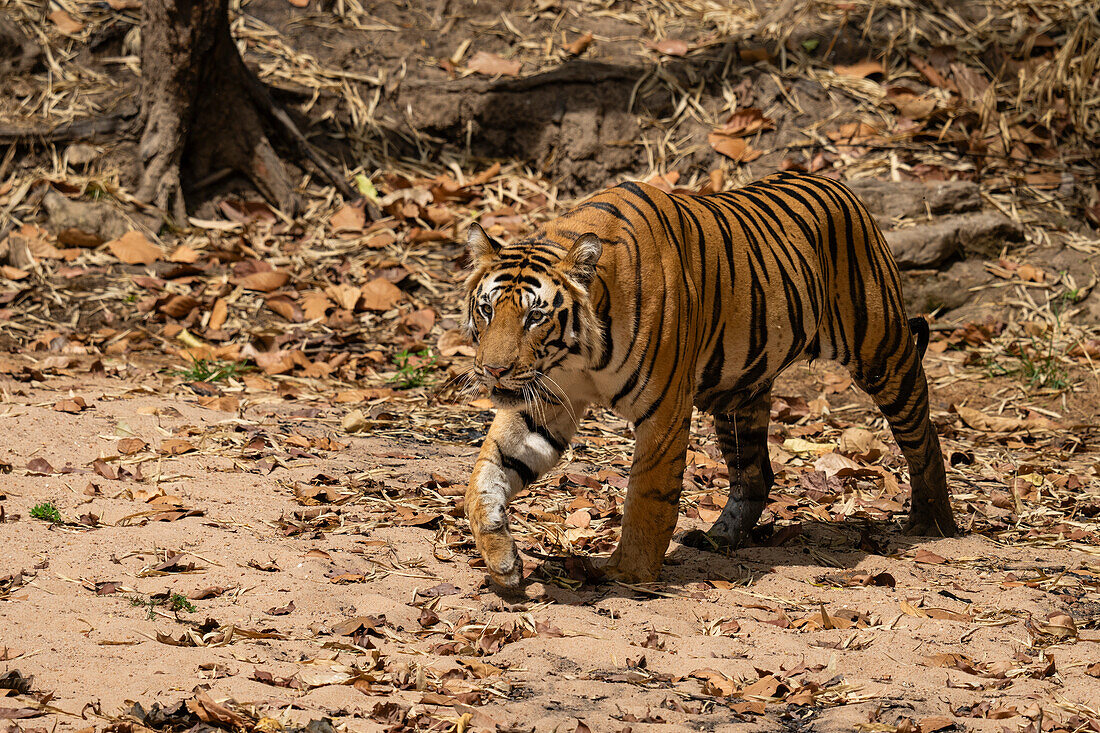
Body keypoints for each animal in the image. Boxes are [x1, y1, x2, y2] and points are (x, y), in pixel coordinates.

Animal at [459, 171, 959, 589]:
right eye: (486, 309)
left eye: (535, 317)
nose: (493, 370)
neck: (576, 357)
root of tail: (841, 186)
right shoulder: (541, 400)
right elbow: (485, 477)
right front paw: (502, 561)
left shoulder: (663, 409)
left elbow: (648, 493)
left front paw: (628, 572)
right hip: (741, 393)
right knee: (755, 474)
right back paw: (720, 538)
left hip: (883, 350)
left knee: (923, 435)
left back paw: (932, 523)